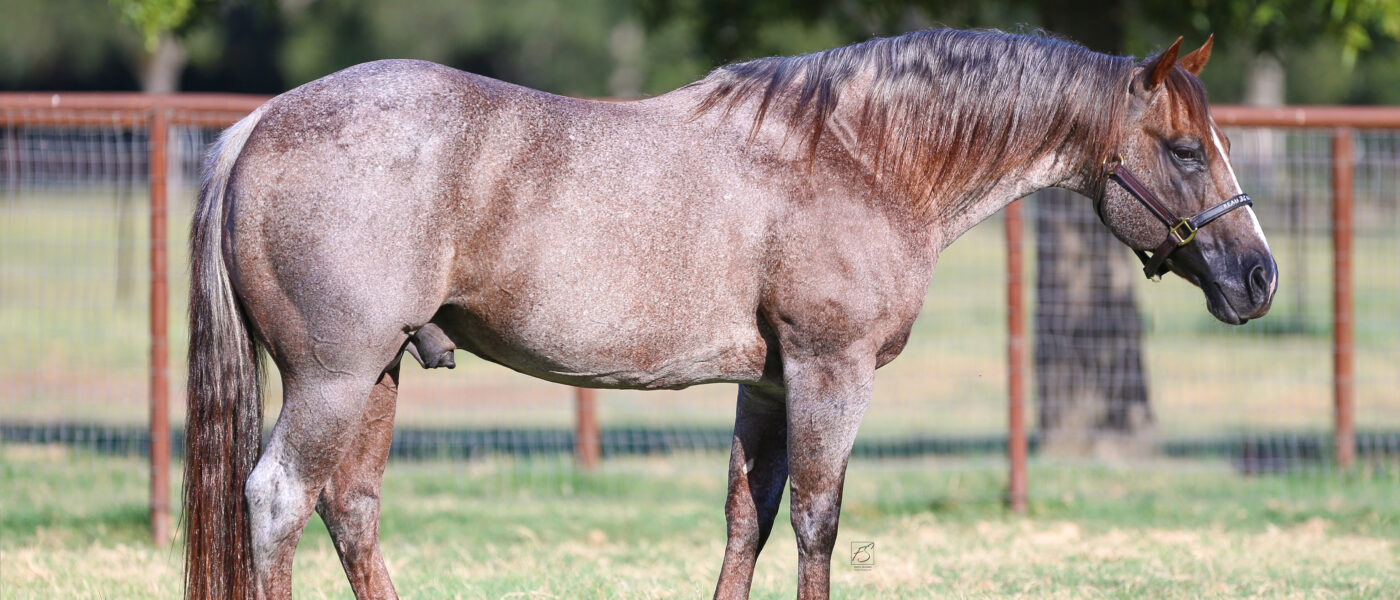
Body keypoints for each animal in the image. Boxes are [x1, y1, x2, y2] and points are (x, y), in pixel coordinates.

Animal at [183, 29, 1276, 600]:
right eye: (1186, 150)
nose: (1258, 277)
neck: (859, 156)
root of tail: (256, 125)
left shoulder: (768, 386)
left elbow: (747, 519)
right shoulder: (831, 373)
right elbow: (817, 520)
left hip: (375, 375)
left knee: (351, 508)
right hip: (332, 378)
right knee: (279, 498)